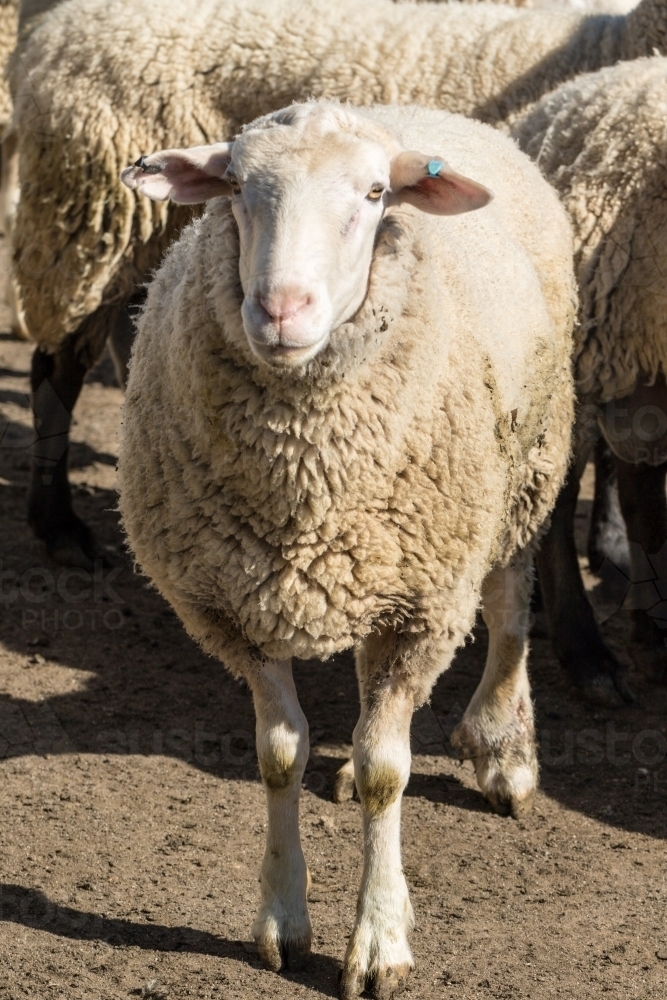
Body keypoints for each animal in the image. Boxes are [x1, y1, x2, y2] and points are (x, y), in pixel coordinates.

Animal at [117, 99, 576, 1000]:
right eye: (235, 186)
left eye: (372, 194)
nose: (281, 310)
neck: (305, 472)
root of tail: (422, 109)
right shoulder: (237, 607)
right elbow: (277, 755)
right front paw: (281, 922)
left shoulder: (421, 608)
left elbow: (387, 773)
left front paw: (379, 940)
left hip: (524, 472)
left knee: (509, 611)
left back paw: (502, 751)